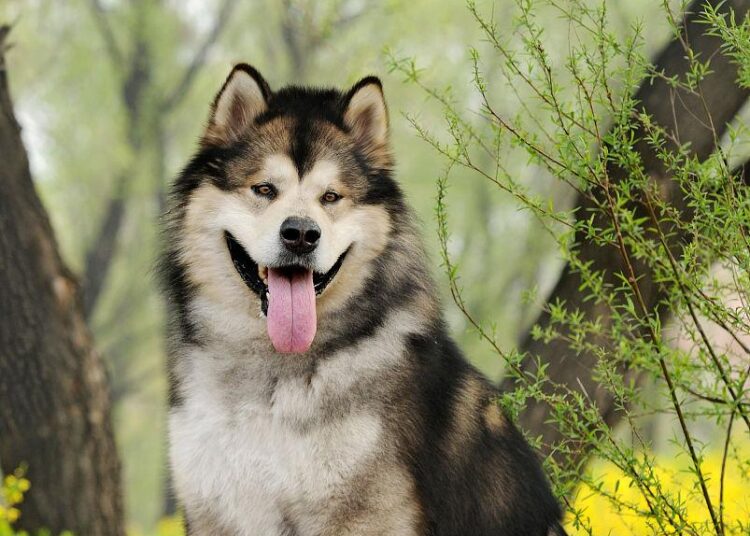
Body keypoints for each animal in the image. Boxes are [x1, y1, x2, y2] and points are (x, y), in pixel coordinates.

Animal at [162, 63, 568, 536]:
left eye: (331, 197)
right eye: (263, 190)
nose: (301, 234)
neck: (273, 376)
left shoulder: (363, 516)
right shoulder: (215, 510)